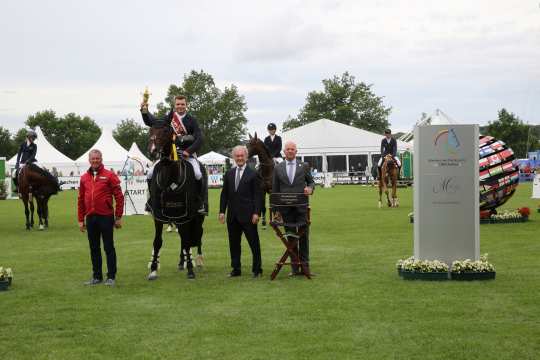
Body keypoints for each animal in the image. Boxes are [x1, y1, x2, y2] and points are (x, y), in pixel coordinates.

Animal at [146, 122, 205, 280]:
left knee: (197, 234)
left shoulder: (184, 216)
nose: (153, 152)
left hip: (198, 216)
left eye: (165, 132)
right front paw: (153, 269)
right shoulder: (159, 216)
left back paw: (198, 260)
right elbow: (157, 242)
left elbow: (187, 241)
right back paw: (181, 262)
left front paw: (190, 269)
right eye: (150, 131)